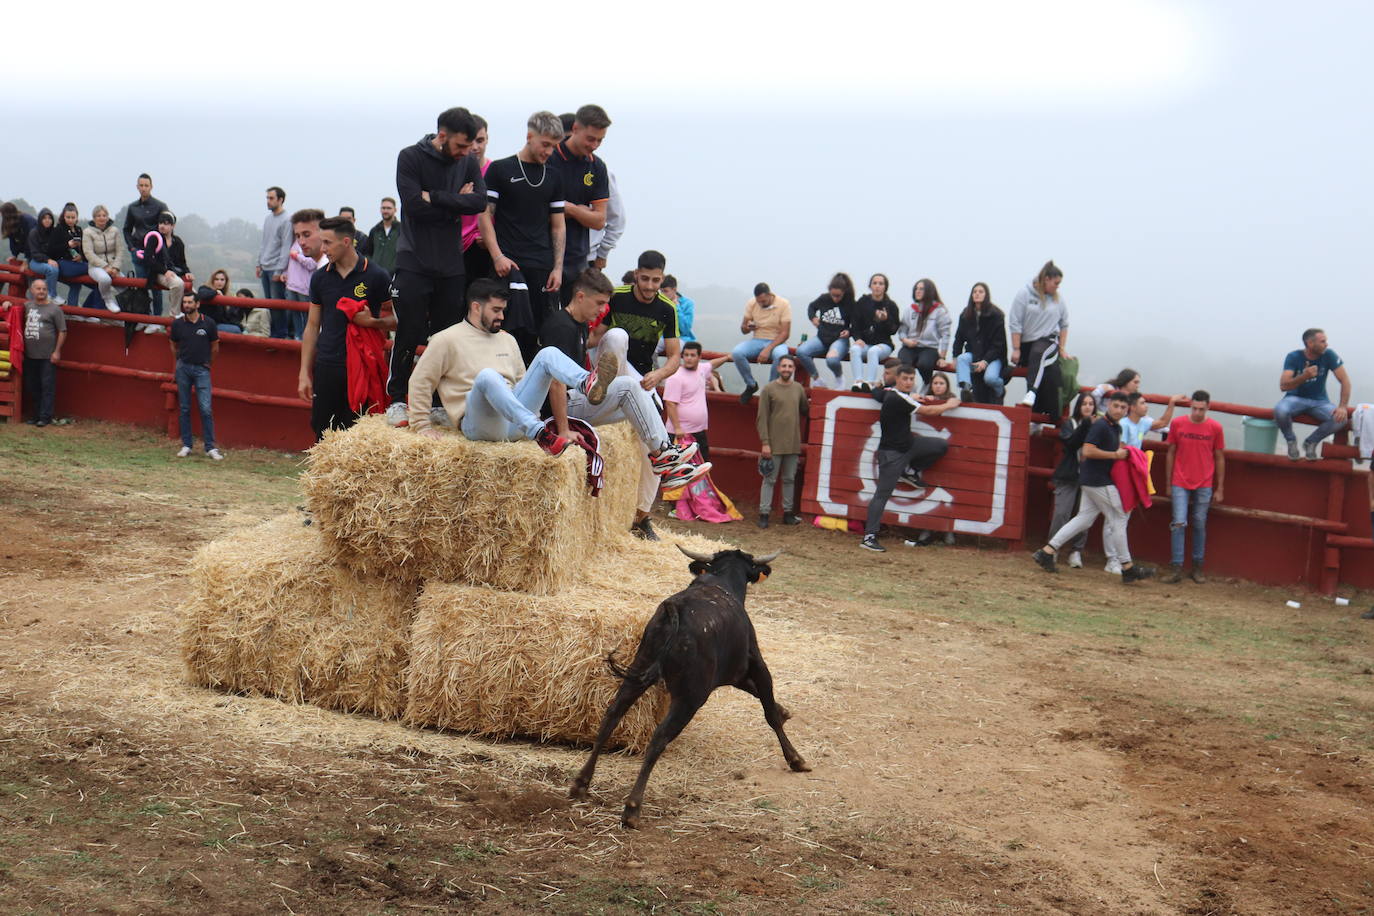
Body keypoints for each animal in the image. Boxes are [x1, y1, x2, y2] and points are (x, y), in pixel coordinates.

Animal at [566, 549, 802, 829]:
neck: (722, 581)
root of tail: (674, 612)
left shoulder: (734, 674)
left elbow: (762, 698)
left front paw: (784, 711)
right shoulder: (755, 665)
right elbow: (769, 709)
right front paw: (795, 758)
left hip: (637, 673)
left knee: (611, 716)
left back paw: (581, 783)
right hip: (690, 698)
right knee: (659, 738)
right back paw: (632, 808)